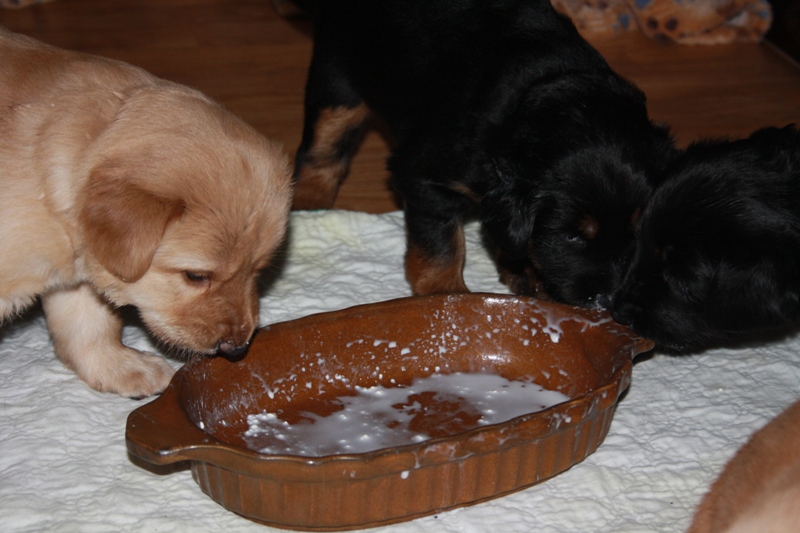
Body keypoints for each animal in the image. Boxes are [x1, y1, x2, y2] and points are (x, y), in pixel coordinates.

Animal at [0, 28, 292, 397]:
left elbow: (88, 325)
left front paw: (120, 367)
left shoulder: (76, 266)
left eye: (259, 270)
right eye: (196, 276)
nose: (237, 348)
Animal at [291, 0, 676, 305]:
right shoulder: (424, 177)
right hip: (338, 80)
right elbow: (442, 247)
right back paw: (307, 210)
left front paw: (521, 270)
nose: (608, 300)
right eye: (573, 236)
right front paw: (448, 296)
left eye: (637, 234)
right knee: (322, 149)